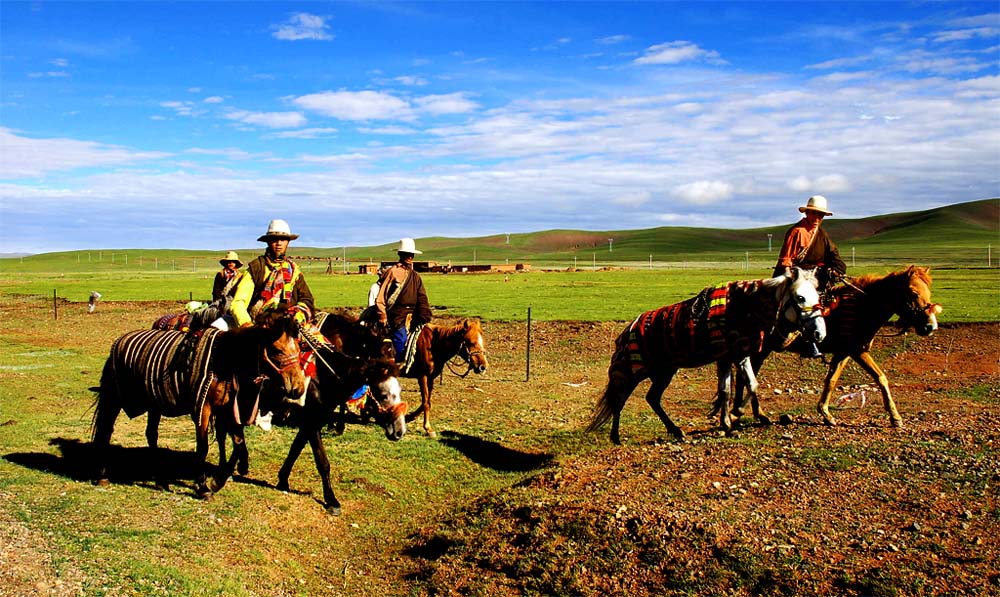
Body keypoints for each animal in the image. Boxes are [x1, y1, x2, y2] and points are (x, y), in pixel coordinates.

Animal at [91, 308, 302, 498]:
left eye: (300, 348)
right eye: (277, 350)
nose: (298, 388)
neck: (224, 361)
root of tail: (119, 341)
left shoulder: (226, 409)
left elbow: (238, 442)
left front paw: (219, 480)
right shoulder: (203, 409)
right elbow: (203, 447)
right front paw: (203, 486)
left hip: (154, 403)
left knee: (151, 434)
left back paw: (160, 479)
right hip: (113, 398)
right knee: (105, 430)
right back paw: (102, 475)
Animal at [588, 268, 824, 442]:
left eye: (819, 296)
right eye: (800, 297)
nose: (819, 333)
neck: (743, 307)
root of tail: (627, 331)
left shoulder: (736, 356)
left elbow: (743, 386)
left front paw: (731, 421)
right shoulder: (730, 355)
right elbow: (730, 390)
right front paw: (735, 415)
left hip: (664, 371)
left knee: (651, 398)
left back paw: (676, 430)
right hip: (632, 371)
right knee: (619, 398)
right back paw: (616, 437)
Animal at [732, 264, 940, 426]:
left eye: (929, 292)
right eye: (913, 292)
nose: (930, 326)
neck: (864, 306)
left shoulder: (844, 352)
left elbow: (831, 380)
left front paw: (825, 413)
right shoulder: (857, 350)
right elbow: (881, 377)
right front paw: (895, 417)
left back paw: (744, 412)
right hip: (760, 349)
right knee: (747, 377)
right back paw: (756, 414)